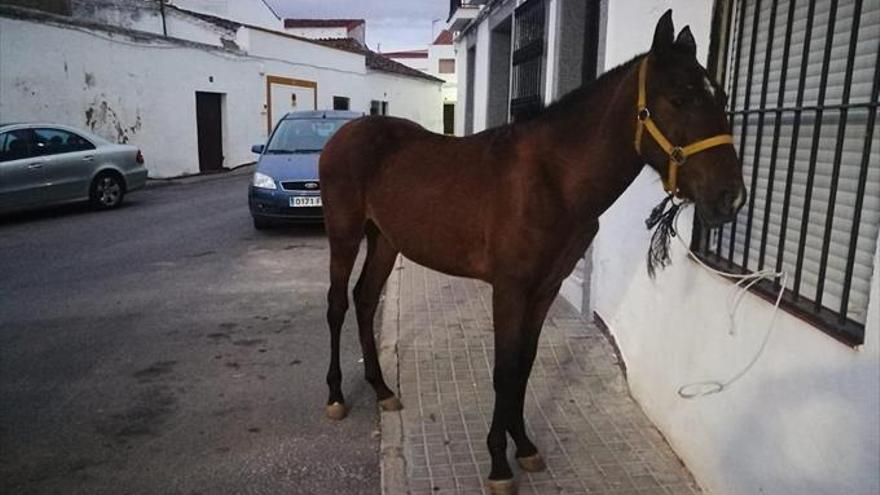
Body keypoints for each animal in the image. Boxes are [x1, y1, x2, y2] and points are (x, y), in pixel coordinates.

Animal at [320, 9, 744, 494]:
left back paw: (383, 390)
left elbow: (524, 365)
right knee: (337, 304)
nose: (730, 197)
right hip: (344, 233)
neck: (554, 179)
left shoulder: (545, 288)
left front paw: (522, 446)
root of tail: (347, 131)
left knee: (365, 300)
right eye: (679, 98)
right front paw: (498, 464)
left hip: (385, 240)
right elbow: (504, 369)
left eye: (721, 96)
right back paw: (336, 396)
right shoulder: (509, 288)